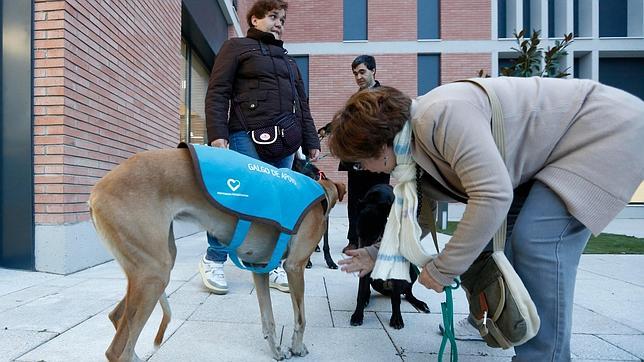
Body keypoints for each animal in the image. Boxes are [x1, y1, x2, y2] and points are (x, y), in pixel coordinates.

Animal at [89, 148, 348, 362]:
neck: (320, 191)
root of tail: (96, 191)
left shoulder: (259, 267)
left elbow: (268, 319)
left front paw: (276, 351)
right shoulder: (295, 266)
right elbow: (301, 317)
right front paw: (297, 347)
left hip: (153, 267)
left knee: (116, 318)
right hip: (153, 273)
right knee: (118, 351)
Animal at [350, 185, 430, 330]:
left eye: (377, 237)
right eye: (359, 236)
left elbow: (396, 299)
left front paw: (397, 319)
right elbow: (361, 292)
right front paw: (358, 315)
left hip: (412, 272)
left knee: (407, 293)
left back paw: (419, 303)